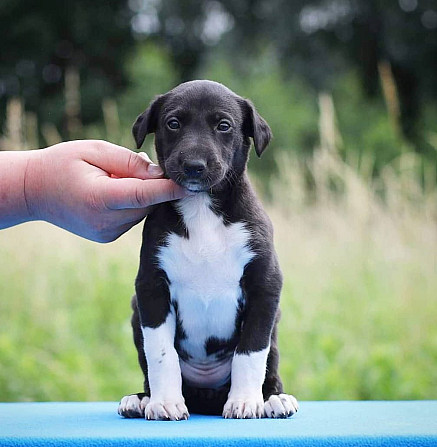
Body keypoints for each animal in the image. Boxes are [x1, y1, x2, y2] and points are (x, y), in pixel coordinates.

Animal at [117, 81, 298, 424]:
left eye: (223, 126)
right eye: (173, 123)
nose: (194, 166)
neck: (202, 208)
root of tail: (206, 398)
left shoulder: (264, 285)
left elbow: (250, 352)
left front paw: (245, 402)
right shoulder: (151, 288)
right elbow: (161, 353)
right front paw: (165, 402)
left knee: (269, 366)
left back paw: (274, 398)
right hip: (135, 313)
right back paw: (141, 399)